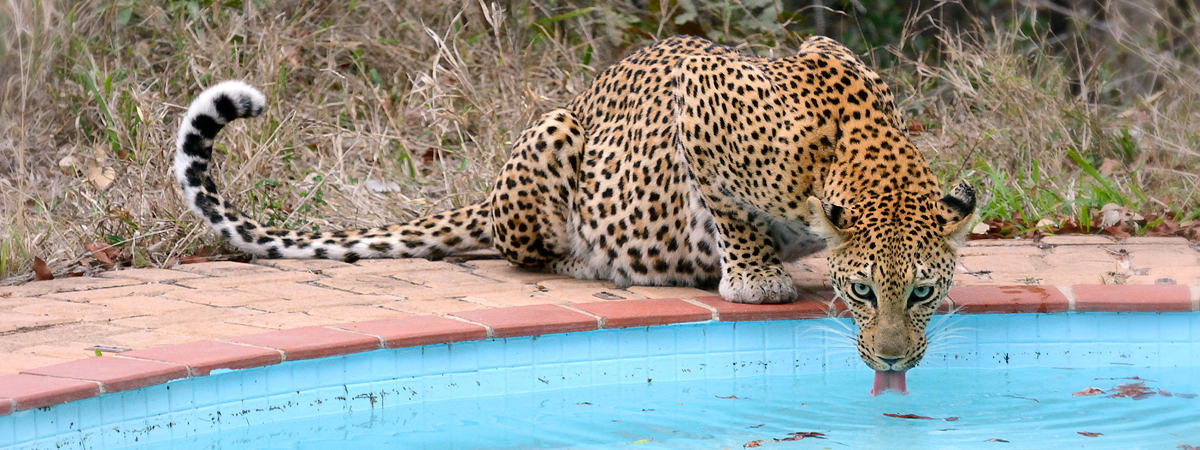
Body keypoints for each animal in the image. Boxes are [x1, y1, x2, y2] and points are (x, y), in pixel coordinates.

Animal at [177, 35, 974, 393]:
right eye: (862, 291)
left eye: (923, 292)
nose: (895, 359)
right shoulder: (700, 99)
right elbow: (731, 213)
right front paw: (756, 277)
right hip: (554, 132)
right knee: (523, 250)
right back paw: (591, 261)